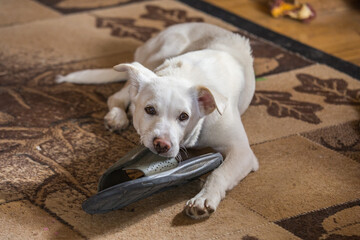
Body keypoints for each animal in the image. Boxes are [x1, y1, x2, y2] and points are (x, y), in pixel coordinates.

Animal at [56, 23, 258, 219]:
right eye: (150, 110)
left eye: (184, 116)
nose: (161, 145)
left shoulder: (242, 152)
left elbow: (218, 173)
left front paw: (204, 199)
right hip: (161, 53)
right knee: (118, 96)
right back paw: (117, 116)